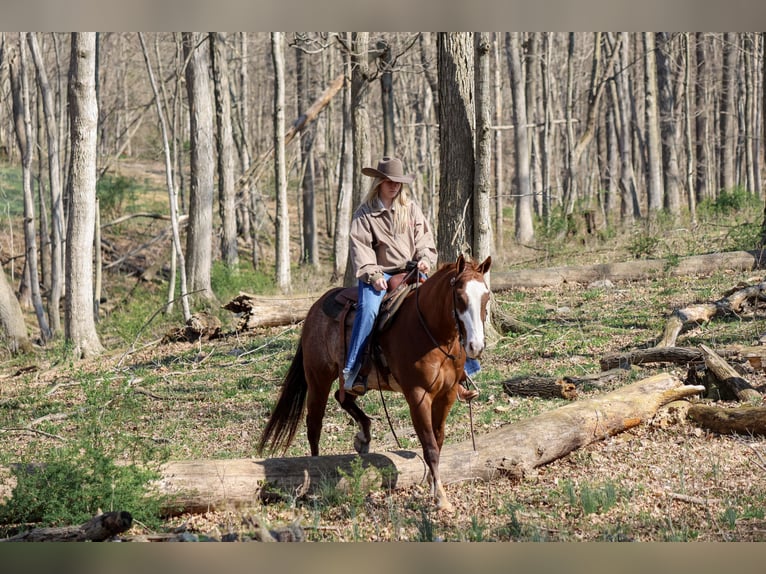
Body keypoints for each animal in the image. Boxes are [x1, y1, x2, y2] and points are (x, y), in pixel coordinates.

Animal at [257, 254, 492, 512]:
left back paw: (363, 436)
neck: (433, 333)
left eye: (486, 296)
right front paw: (441, 498)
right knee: (314, 425)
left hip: (356, 380)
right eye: (459, 297)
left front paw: (433, 486)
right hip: (318, 377)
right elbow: (430, 446)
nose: (476, 346)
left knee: (343, 397)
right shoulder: (417, 396)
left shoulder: (447, 394)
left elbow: (438, 440)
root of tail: (315, 308)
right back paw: (318, 469)